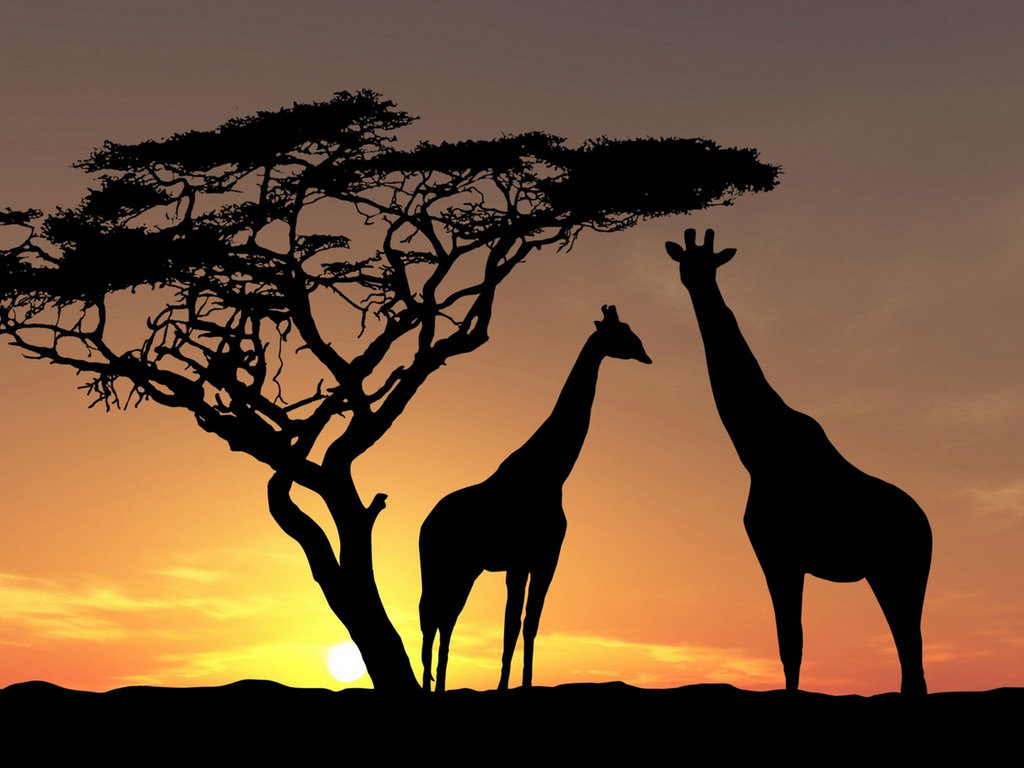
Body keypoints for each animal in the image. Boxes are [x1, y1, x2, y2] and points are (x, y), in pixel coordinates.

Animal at [419, 305, 652, 692]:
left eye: (632, 331)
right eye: (621, 332)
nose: (646, 354)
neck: (552, 473)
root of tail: (425, 523)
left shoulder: (543, 559)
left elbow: (530, 624)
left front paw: (524, 685)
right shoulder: (520, 560)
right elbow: (512, 624)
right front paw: (503, 687)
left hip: (465, 569)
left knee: (443, 617)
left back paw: (437, 684)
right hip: (442, 564)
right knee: (433, 616)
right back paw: (430, 685)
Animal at [667, 228, 932, 695]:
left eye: (711, 264)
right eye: (686, 262)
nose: (696, 283)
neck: (758, 451)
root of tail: (929, 530)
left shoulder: (779, 554)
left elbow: (791, 644)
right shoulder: (779, 556)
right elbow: (790, 646)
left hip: (900, 572)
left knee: (911, 654)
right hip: (890, 575)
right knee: (910, 658)